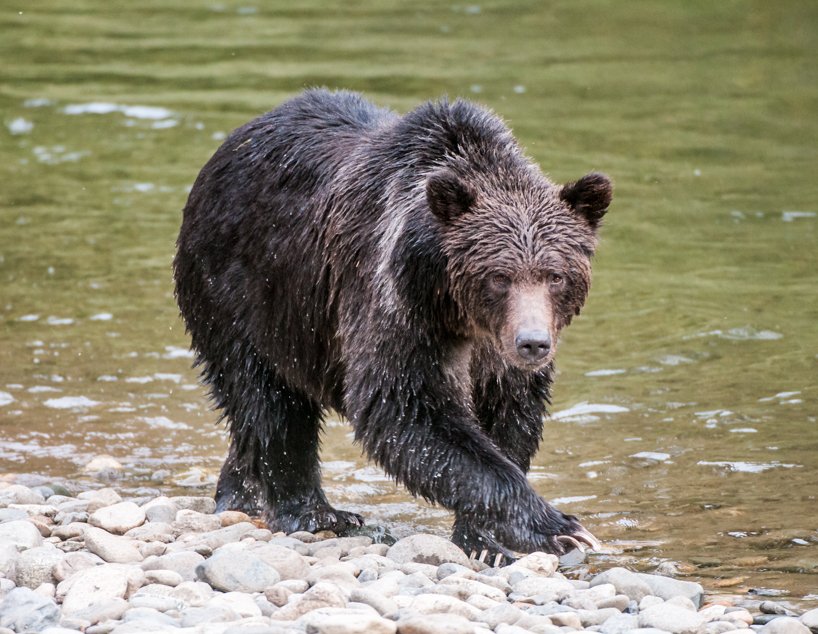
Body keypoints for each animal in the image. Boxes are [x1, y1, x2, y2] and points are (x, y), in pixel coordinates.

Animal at [173, 88, 611, 561]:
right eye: (498, 276)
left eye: (555, 275)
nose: (533, 343)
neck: (458, 311)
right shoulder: (396, 302)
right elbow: (403, 407)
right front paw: (561, 528)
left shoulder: (498, 358)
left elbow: (511, 417)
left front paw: (484, 540)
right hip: (243, 294)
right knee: (271, 403)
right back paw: (317, 513)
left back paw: (237, 494)